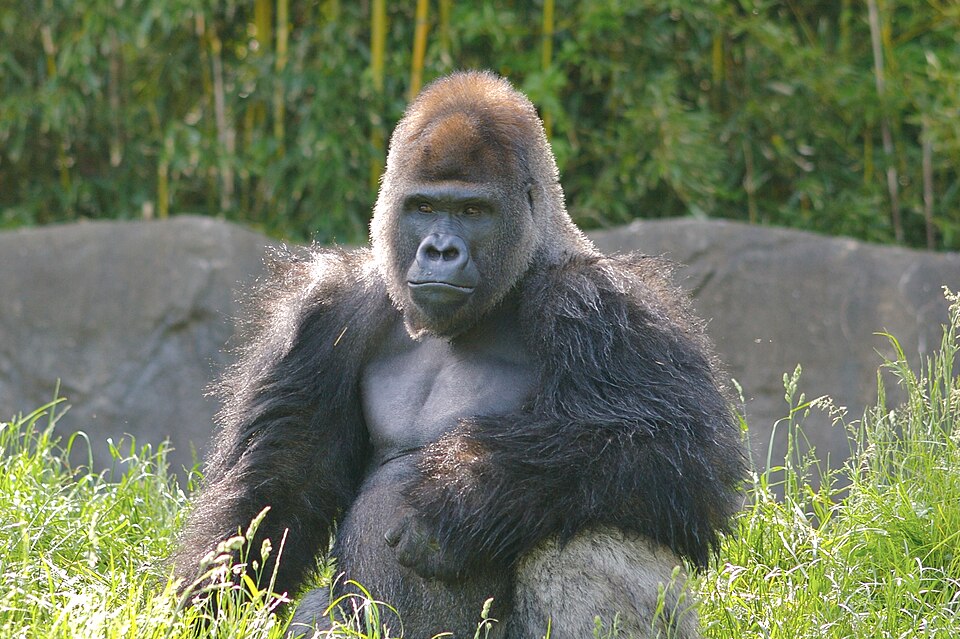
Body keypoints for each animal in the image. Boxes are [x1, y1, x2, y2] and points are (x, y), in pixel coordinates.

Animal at [172, 70, 744, 639]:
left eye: (473, 211)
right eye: (424, 207)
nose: (441, 250)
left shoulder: (603, 304)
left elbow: (679, 456)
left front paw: (457, 498)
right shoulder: (326, 309)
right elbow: (277, 485)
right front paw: (205, 610)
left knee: (590, 524)